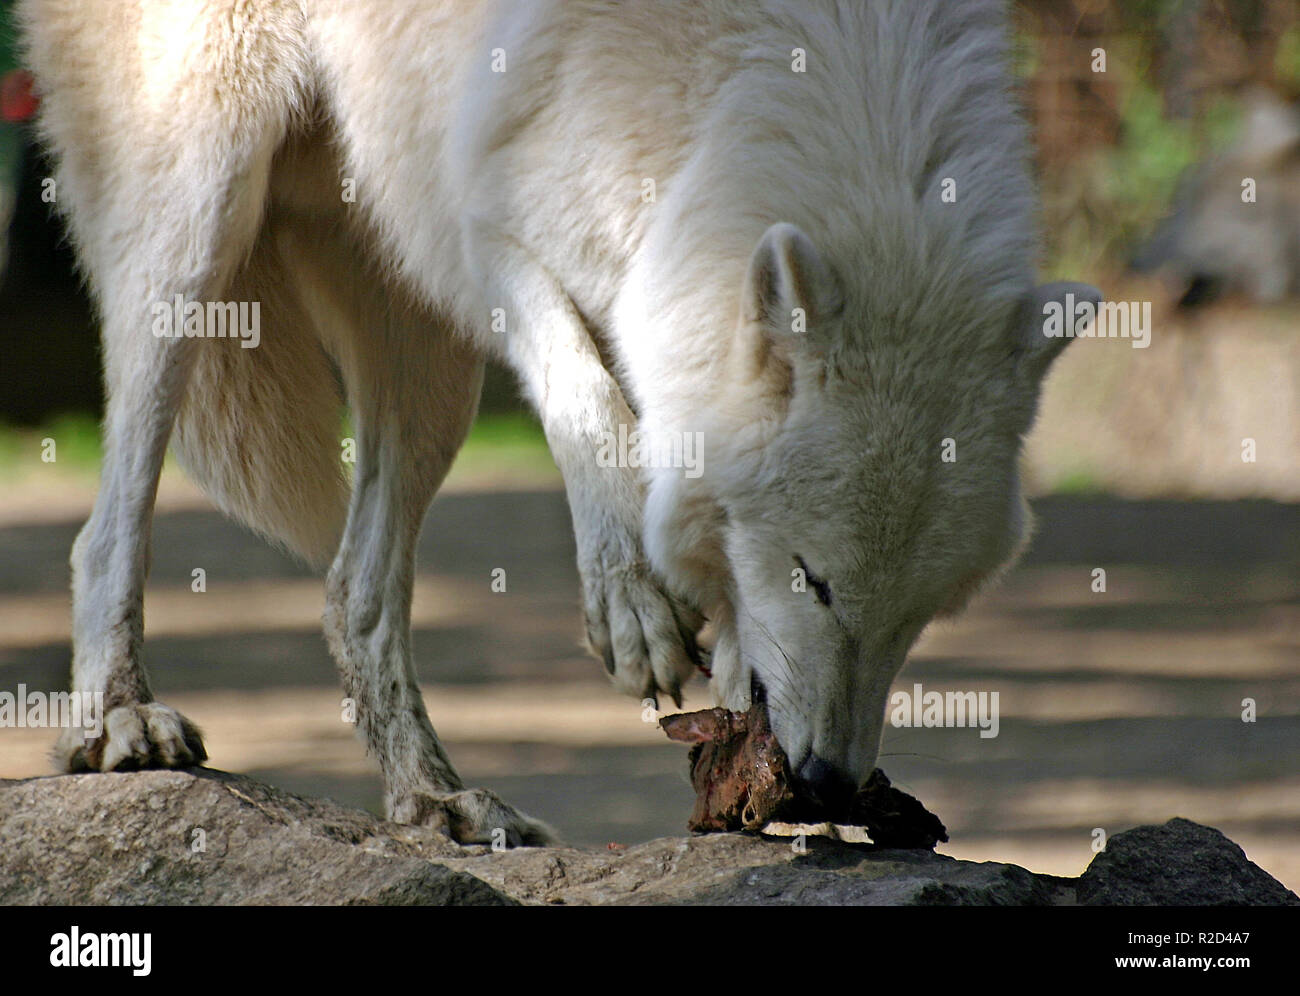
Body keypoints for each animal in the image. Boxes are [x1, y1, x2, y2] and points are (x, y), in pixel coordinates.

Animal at [20, 0, 1097, 852]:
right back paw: (119, 719)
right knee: (105, 526)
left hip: (424, 361)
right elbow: (592, 404)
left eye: (924, 614)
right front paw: (631, 604)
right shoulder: (481, 224)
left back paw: (438, 802)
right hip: (203, 215)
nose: (828, 782)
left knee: (354, 594)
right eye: (815, 582)